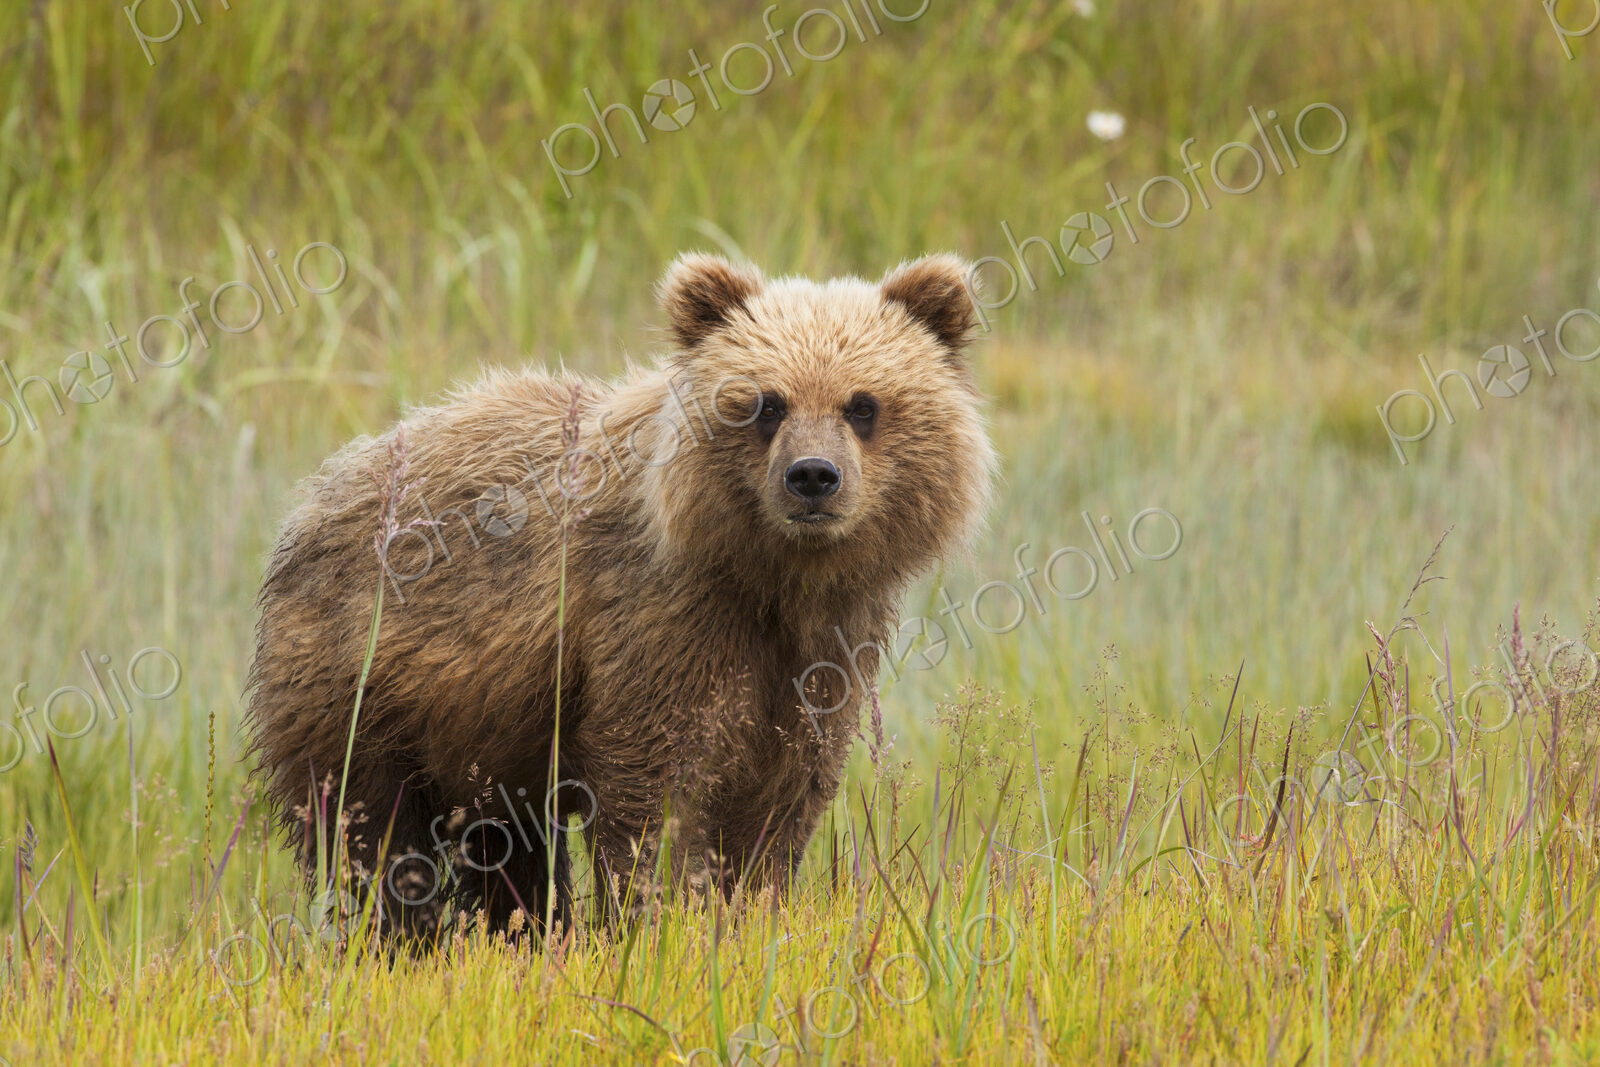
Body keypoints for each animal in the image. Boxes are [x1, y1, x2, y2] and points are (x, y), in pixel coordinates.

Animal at [243, 253, 995, 935]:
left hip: (478, 732)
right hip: (365, 683)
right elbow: (655, 791)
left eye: (863, 404)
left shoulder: (821, 648)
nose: (813, 476)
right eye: (766, 403)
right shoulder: (658, 623)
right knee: (370, 830)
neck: (769, 577)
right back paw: (398, 936)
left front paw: (752, 911)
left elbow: (783, 793)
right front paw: (655, 922)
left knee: (505, 845)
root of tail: (317, 494)